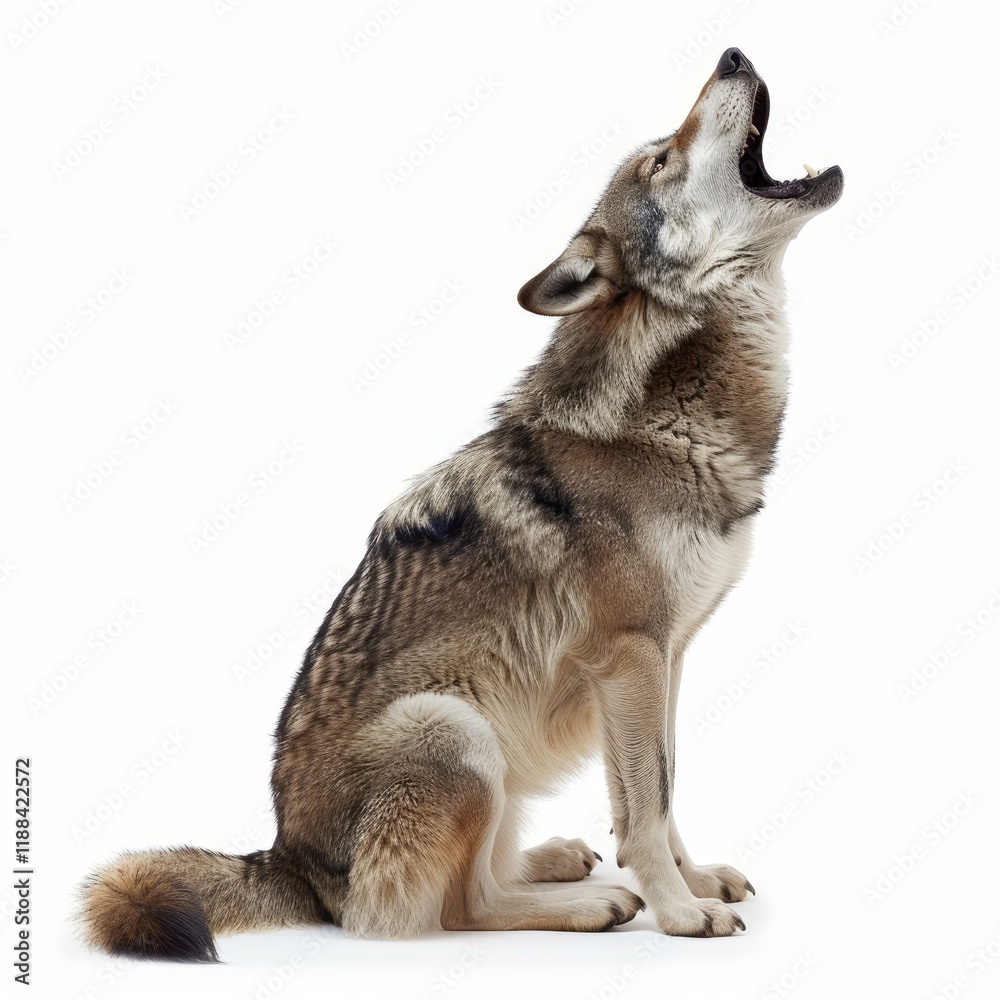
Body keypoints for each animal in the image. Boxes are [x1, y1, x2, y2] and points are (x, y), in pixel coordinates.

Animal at [78, 48, 842, 960]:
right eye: (661, 158)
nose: (733, 54)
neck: (668, 418)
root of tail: (287, 861)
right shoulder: (631, 655)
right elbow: (648, 804)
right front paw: (678, 911)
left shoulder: (668, 655)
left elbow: (659, 787)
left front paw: (692, 882)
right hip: (455, 728)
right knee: (443, 908)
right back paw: (590, 903)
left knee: (475, 877)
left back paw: (558, 860)